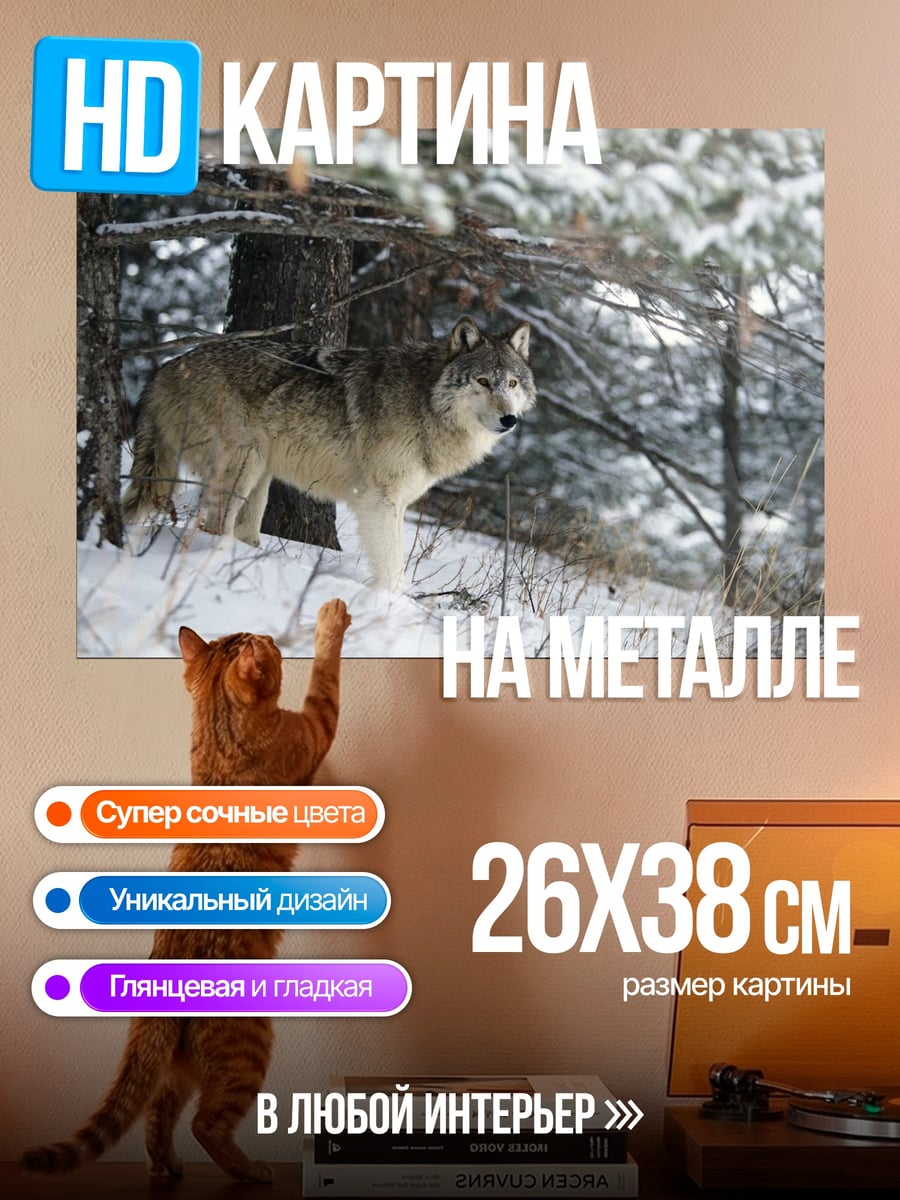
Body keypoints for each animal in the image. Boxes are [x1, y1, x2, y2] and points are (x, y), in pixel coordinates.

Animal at [122, 317, 536, 589]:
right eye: (483, 381)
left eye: (512, 383)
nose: (509, 419)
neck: (425, 402)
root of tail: (166, 367)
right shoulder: (379, 501)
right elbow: (392, 567)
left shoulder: (398, 502)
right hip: (243, 465)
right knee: (213, 527)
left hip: (260, 477)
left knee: (242, 531)